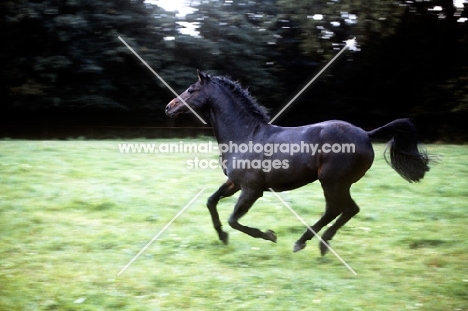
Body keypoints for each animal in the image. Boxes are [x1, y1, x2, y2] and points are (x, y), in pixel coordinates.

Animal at [165, 70, 432, 256]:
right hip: (337, 183)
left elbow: (234, 219)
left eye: (191, 90)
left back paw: (308, 243)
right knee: (344, 210)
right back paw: (315, 243)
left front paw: (269, 235)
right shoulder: (235, 183)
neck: (245, 135)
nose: (169, 107)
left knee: (340, 209)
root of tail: (367, 134)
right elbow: (211, 202)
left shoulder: (252, 189)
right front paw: (222, 237)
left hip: (332, 182)